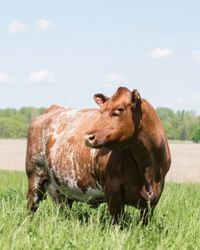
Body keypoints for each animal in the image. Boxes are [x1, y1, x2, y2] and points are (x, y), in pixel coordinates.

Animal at [25, 87, 171, 224]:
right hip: (35, 175)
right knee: (31, 205)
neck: (147, 168)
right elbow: (117, 223)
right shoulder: (113, 190)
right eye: (101, 111)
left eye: (120, 109)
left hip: (62, 189)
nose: (88, 137)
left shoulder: (153, 198)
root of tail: (54, 108)